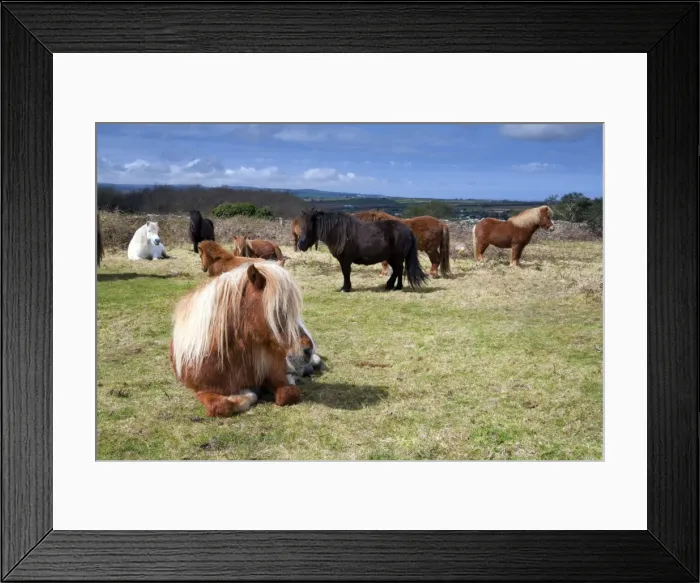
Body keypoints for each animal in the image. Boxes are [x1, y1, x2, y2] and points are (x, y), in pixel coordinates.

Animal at [170, 261, 307, 416]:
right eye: (277, 309)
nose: (308, 349)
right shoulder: (203, 390)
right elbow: (223, 405)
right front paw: (242, 396)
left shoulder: (276, 376)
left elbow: (288, 394)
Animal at [296, 209, 429, 293]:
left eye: (310, 227)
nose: (300, 245)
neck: (340, 233)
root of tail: (408, 230)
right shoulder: (342, 260)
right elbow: (345, 273)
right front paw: (345, 287)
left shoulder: (346, 260)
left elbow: (346, 272)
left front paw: (345, 288)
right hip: (392, 258)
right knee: (399, 270)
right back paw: (396, 287)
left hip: (397, 257)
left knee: (398, 270)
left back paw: (392, 286)